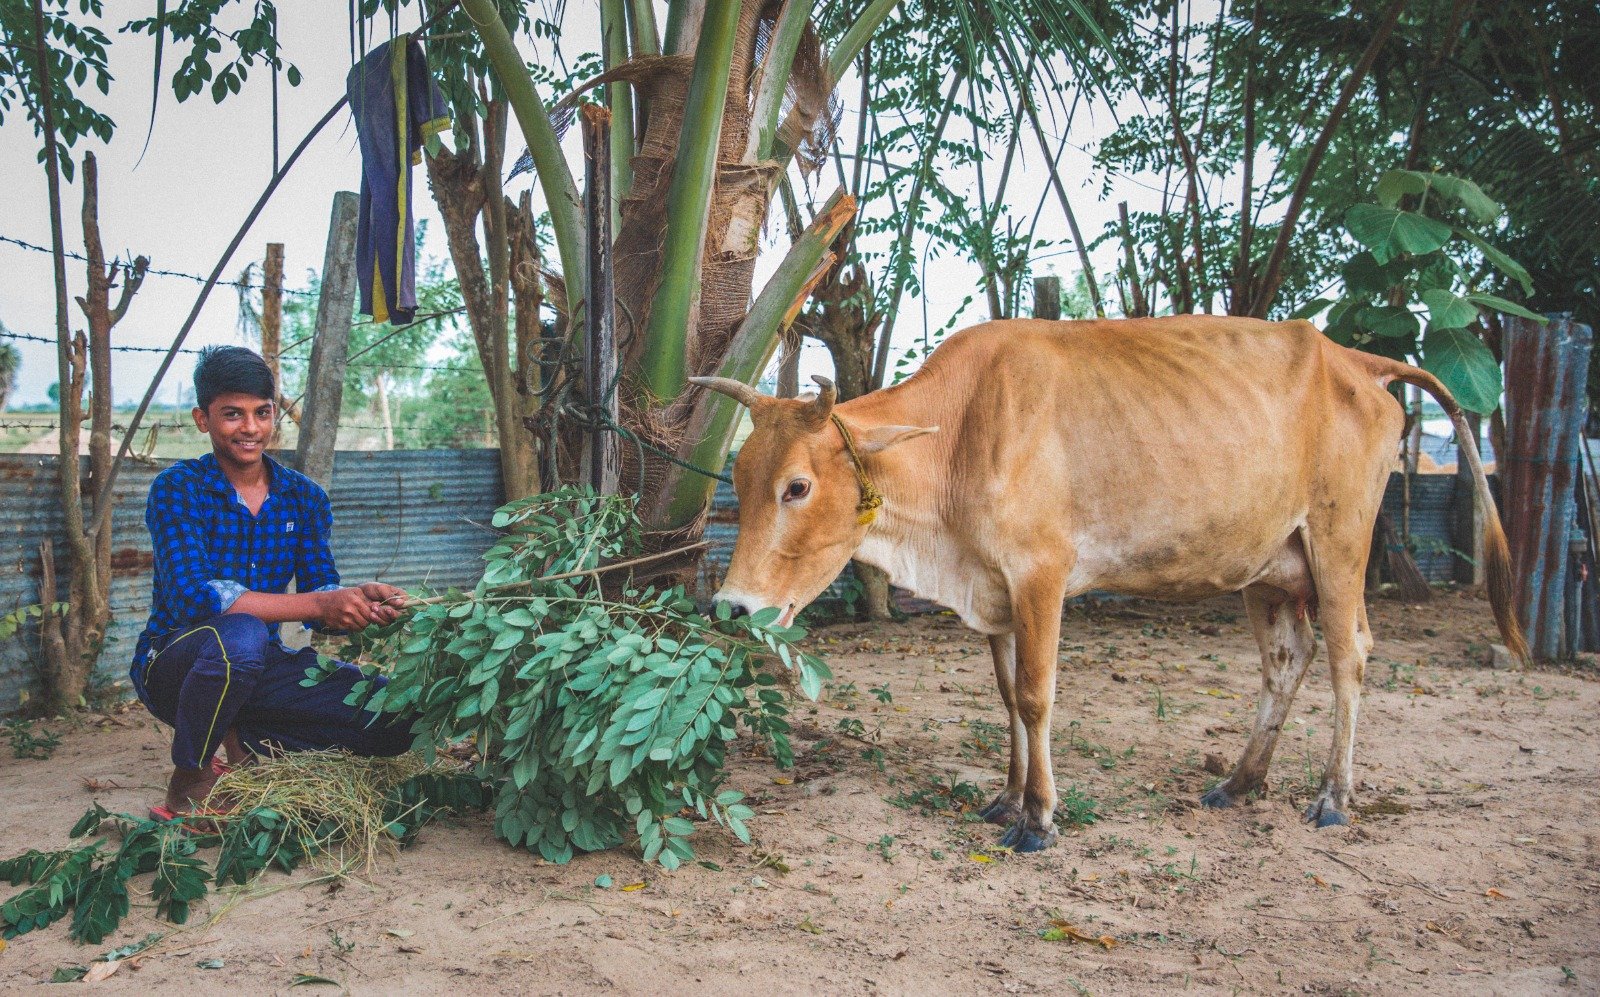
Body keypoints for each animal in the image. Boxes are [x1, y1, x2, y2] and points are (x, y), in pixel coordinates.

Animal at [692, 315, 1526, 852]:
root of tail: (1352, 358)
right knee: (1287, 660)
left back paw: (1333, 797)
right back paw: (1240, 782)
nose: (733, 606)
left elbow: (1036, 695)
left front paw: (1038, 818)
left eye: (798, 486)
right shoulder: (996, 593)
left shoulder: (1041, 573)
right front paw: (1006, 796)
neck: (959, 432)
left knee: (1350, 654)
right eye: (739, 474)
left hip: (1339, 542)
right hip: (1272, 566)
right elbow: (1008, 698)